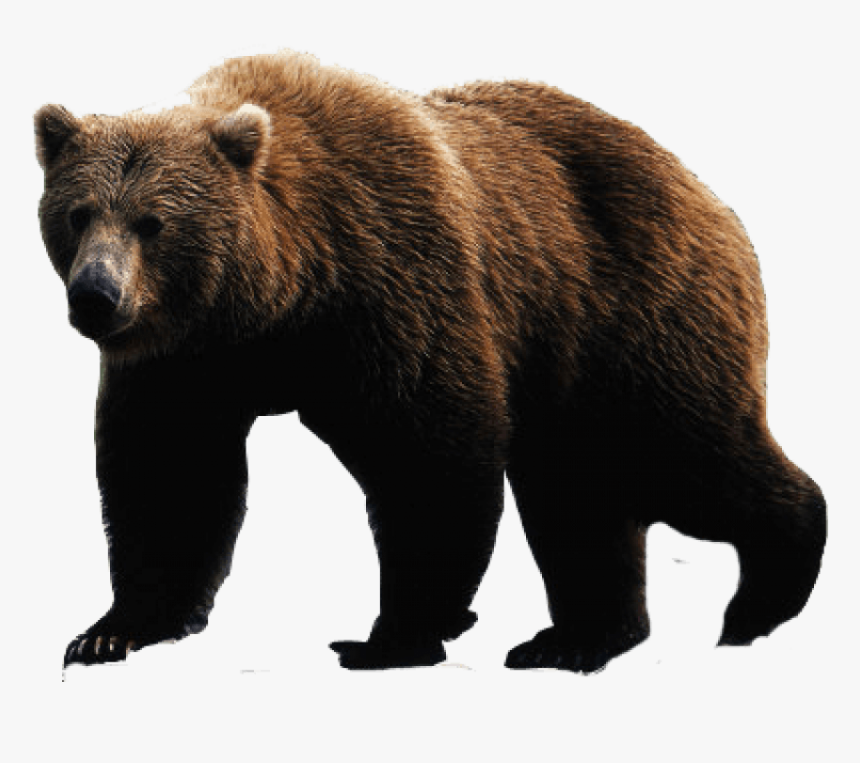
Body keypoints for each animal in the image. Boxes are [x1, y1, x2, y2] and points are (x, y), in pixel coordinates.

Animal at [35, 52, 826, 672]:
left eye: (153, 222)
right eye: (78, 213)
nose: (96, 296)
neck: (280, 300)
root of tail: (709, 194)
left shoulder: (392, 280)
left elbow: (428, 451)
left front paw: (393, 633)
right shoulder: (188, 360)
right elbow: (169, 474)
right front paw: (111, 631)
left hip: (631, 314)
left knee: (683, 454)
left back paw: (763, 596)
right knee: (578, 489)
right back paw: (575, 638)